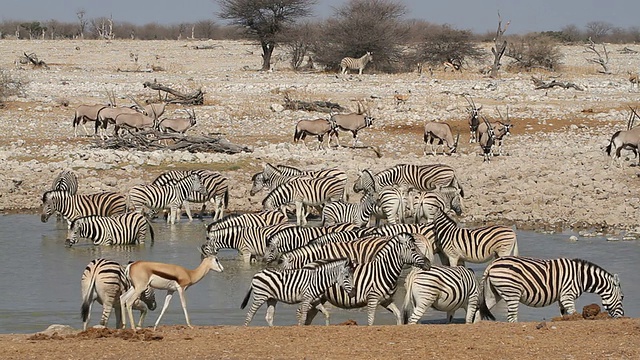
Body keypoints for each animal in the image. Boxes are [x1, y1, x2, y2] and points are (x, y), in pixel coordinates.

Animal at [480, 256, 624, 324]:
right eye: (622, 297)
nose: (622, 317)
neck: (580, 277)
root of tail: (492, 264)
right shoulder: (567, 296)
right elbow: (573, 313)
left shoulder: (562, 297)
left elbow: (564, 314)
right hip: (512, 292)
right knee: (511, 317)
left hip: (494, 293)